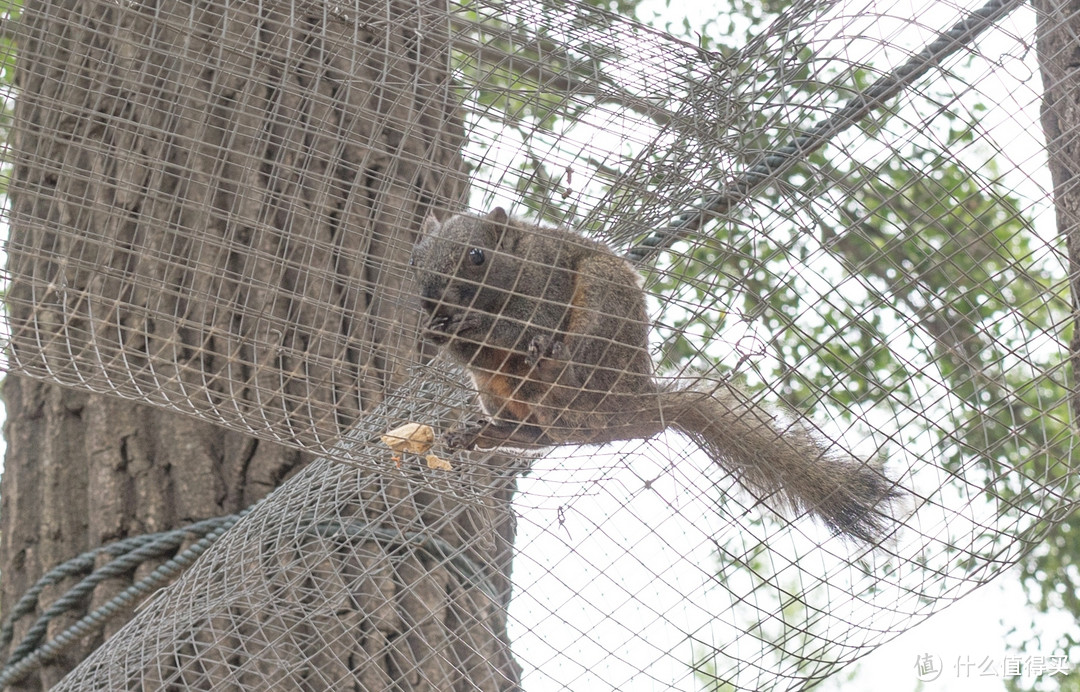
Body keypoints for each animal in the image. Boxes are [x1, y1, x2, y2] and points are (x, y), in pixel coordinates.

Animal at [412, 207, 902, 541]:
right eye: (419, 259)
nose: (431, 301)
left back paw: (554, 357)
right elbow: (471, 353)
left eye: (477, 256)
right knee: (538, 434)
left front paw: (475, 324)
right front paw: (436, 332)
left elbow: (520, 325)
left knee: (568, 365)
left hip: (602, 303)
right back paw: (484, 433)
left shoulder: (545, 285)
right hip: (498, 393)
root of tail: (637, 403)